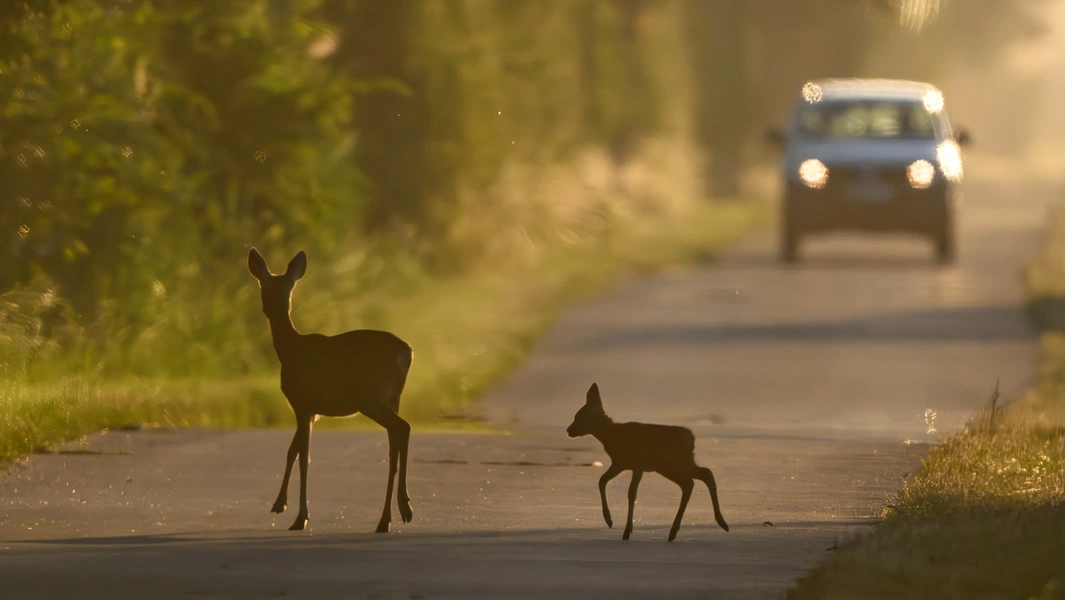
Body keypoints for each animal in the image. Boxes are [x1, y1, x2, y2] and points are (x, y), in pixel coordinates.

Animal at [247, 248, 414, 532]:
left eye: (283, 290)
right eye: (266, 288)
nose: (269, 309)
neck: (290, 350)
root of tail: (407, 352)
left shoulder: (301, 403)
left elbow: (304, 458)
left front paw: (300, 517)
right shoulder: (311, 410)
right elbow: (292, 451)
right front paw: (280, 504)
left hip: (370, 396)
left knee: (402, 428)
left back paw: (396, 514)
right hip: (393, 397)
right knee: (395, 441)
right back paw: (392, 515)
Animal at [566, 382, 729, 542]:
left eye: (579, 417)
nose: (569, 430)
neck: (612, 436)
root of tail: (691, 438)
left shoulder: (634, 464)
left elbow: (628, 491)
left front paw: (618, 526)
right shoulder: (624, 464)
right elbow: (606, 482)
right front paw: (615, 523)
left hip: (672, 463)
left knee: (697, 478)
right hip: (674, 464)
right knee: (697, 478)